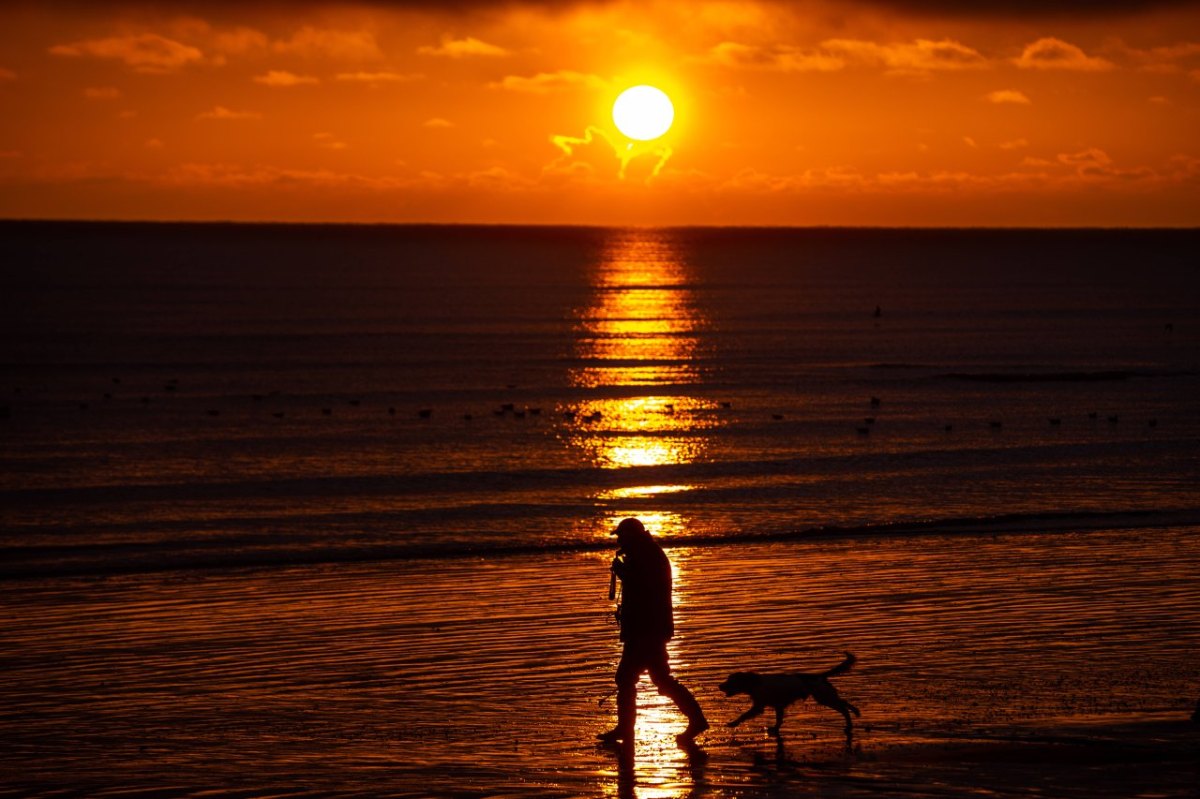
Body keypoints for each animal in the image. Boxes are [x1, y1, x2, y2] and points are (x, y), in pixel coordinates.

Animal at [715, 652, 859, 739]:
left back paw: (851, 720)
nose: (719, 686)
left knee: (844, 707)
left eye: (730, 680)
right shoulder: (778, 706)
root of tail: (820, 676)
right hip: (825, 697)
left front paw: (733, 723)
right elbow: (779, 720)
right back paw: (855, 714)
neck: (754, 683)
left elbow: (744, 715)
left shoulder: (759, 706)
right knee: (844, 703)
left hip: (824, 697)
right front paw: (775, 728)